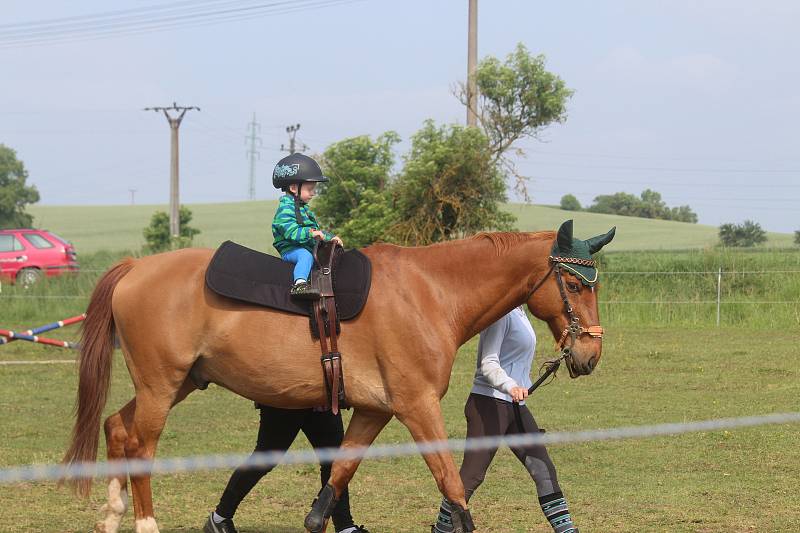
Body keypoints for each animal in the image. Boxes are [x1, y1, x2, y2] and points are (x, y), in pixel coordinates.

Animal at [64, 218, 612, 528]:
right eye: (572, 283)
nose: (589, 353)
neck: (431, 292)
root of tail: (136, 267)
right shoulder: (417, 409)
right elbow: (453, 486)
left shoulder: (374, 412)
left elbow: (336, 480)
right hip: (160, 387)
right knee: (140, 449)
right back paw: (143, 523)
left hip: (177, 384)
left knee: (116, 427)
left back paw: (111, 517)